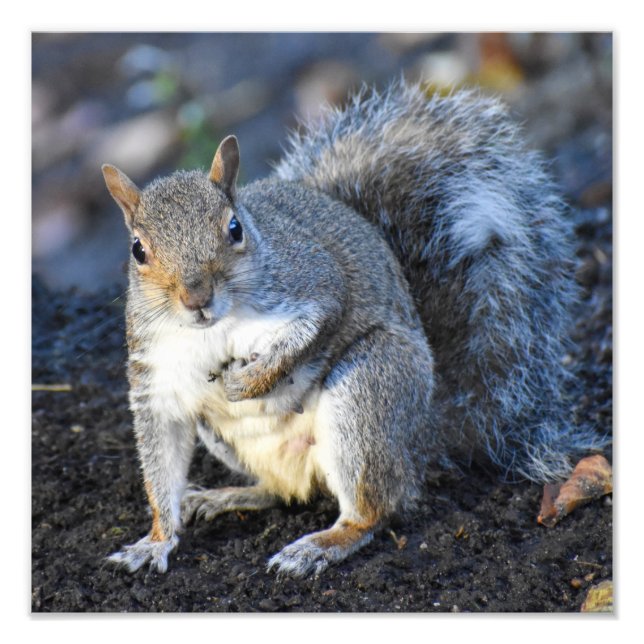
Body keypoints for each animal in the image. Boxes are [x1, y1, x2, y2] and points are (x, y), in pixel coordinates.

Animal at [101, 80, 608, 578]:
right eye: (137, 250)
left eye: (234, 228)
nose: (197, 298)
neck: (215, 328)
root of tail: (424, 431)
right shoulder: (155, 372)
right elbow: (161, 461)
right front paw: (156, 541)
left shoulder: (313, 282)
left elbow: (319, 320)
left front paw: (251, 381)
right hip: (228, 438)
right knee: (282, 492)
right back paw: (228, 495)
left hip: (367, 390)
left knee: (373, 510)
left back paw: (320, 545)